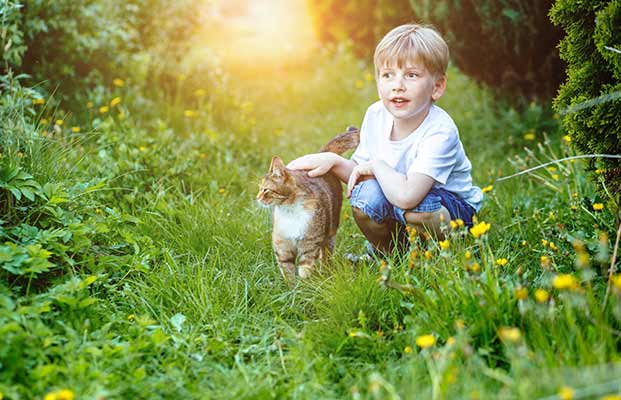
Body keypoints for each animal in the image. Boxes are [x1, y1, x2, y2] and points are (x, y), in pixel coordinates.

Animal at [256, 126, 358, 282]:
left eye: (265, 189)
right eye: (260, 188)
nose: (257, 198)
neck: (289, 210)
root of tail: (320, 156)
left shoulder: (309, 245)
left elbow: (305, 271)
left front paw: (305, 286)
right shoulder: (282, 246)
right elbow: (288, 274)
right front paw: (291, 288)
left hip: (330, 231)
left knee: (326, 253)